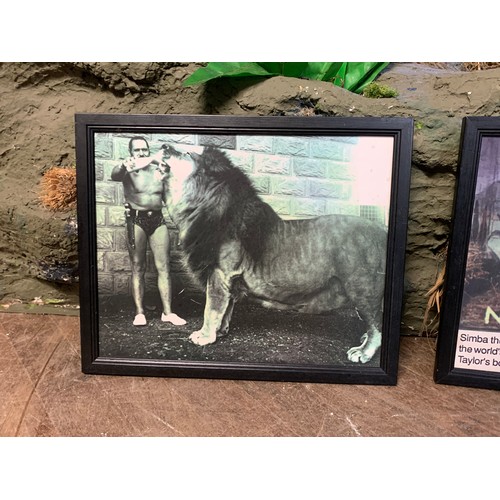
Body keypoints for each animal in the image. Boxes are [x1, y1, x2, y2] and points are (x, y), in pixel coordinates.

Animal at [162, 143, 388, 362]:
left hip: (363, 289)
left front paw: (204, 336)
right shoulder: (229, 279)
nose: (164, 146)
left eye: (187, 153)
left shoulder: (220, 273)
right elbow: (226, 308)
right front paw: (221, 331)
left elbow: (211, 308)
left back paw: (363, 352)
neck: (202, 207)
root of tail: (382, 232)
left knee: (376, 325)